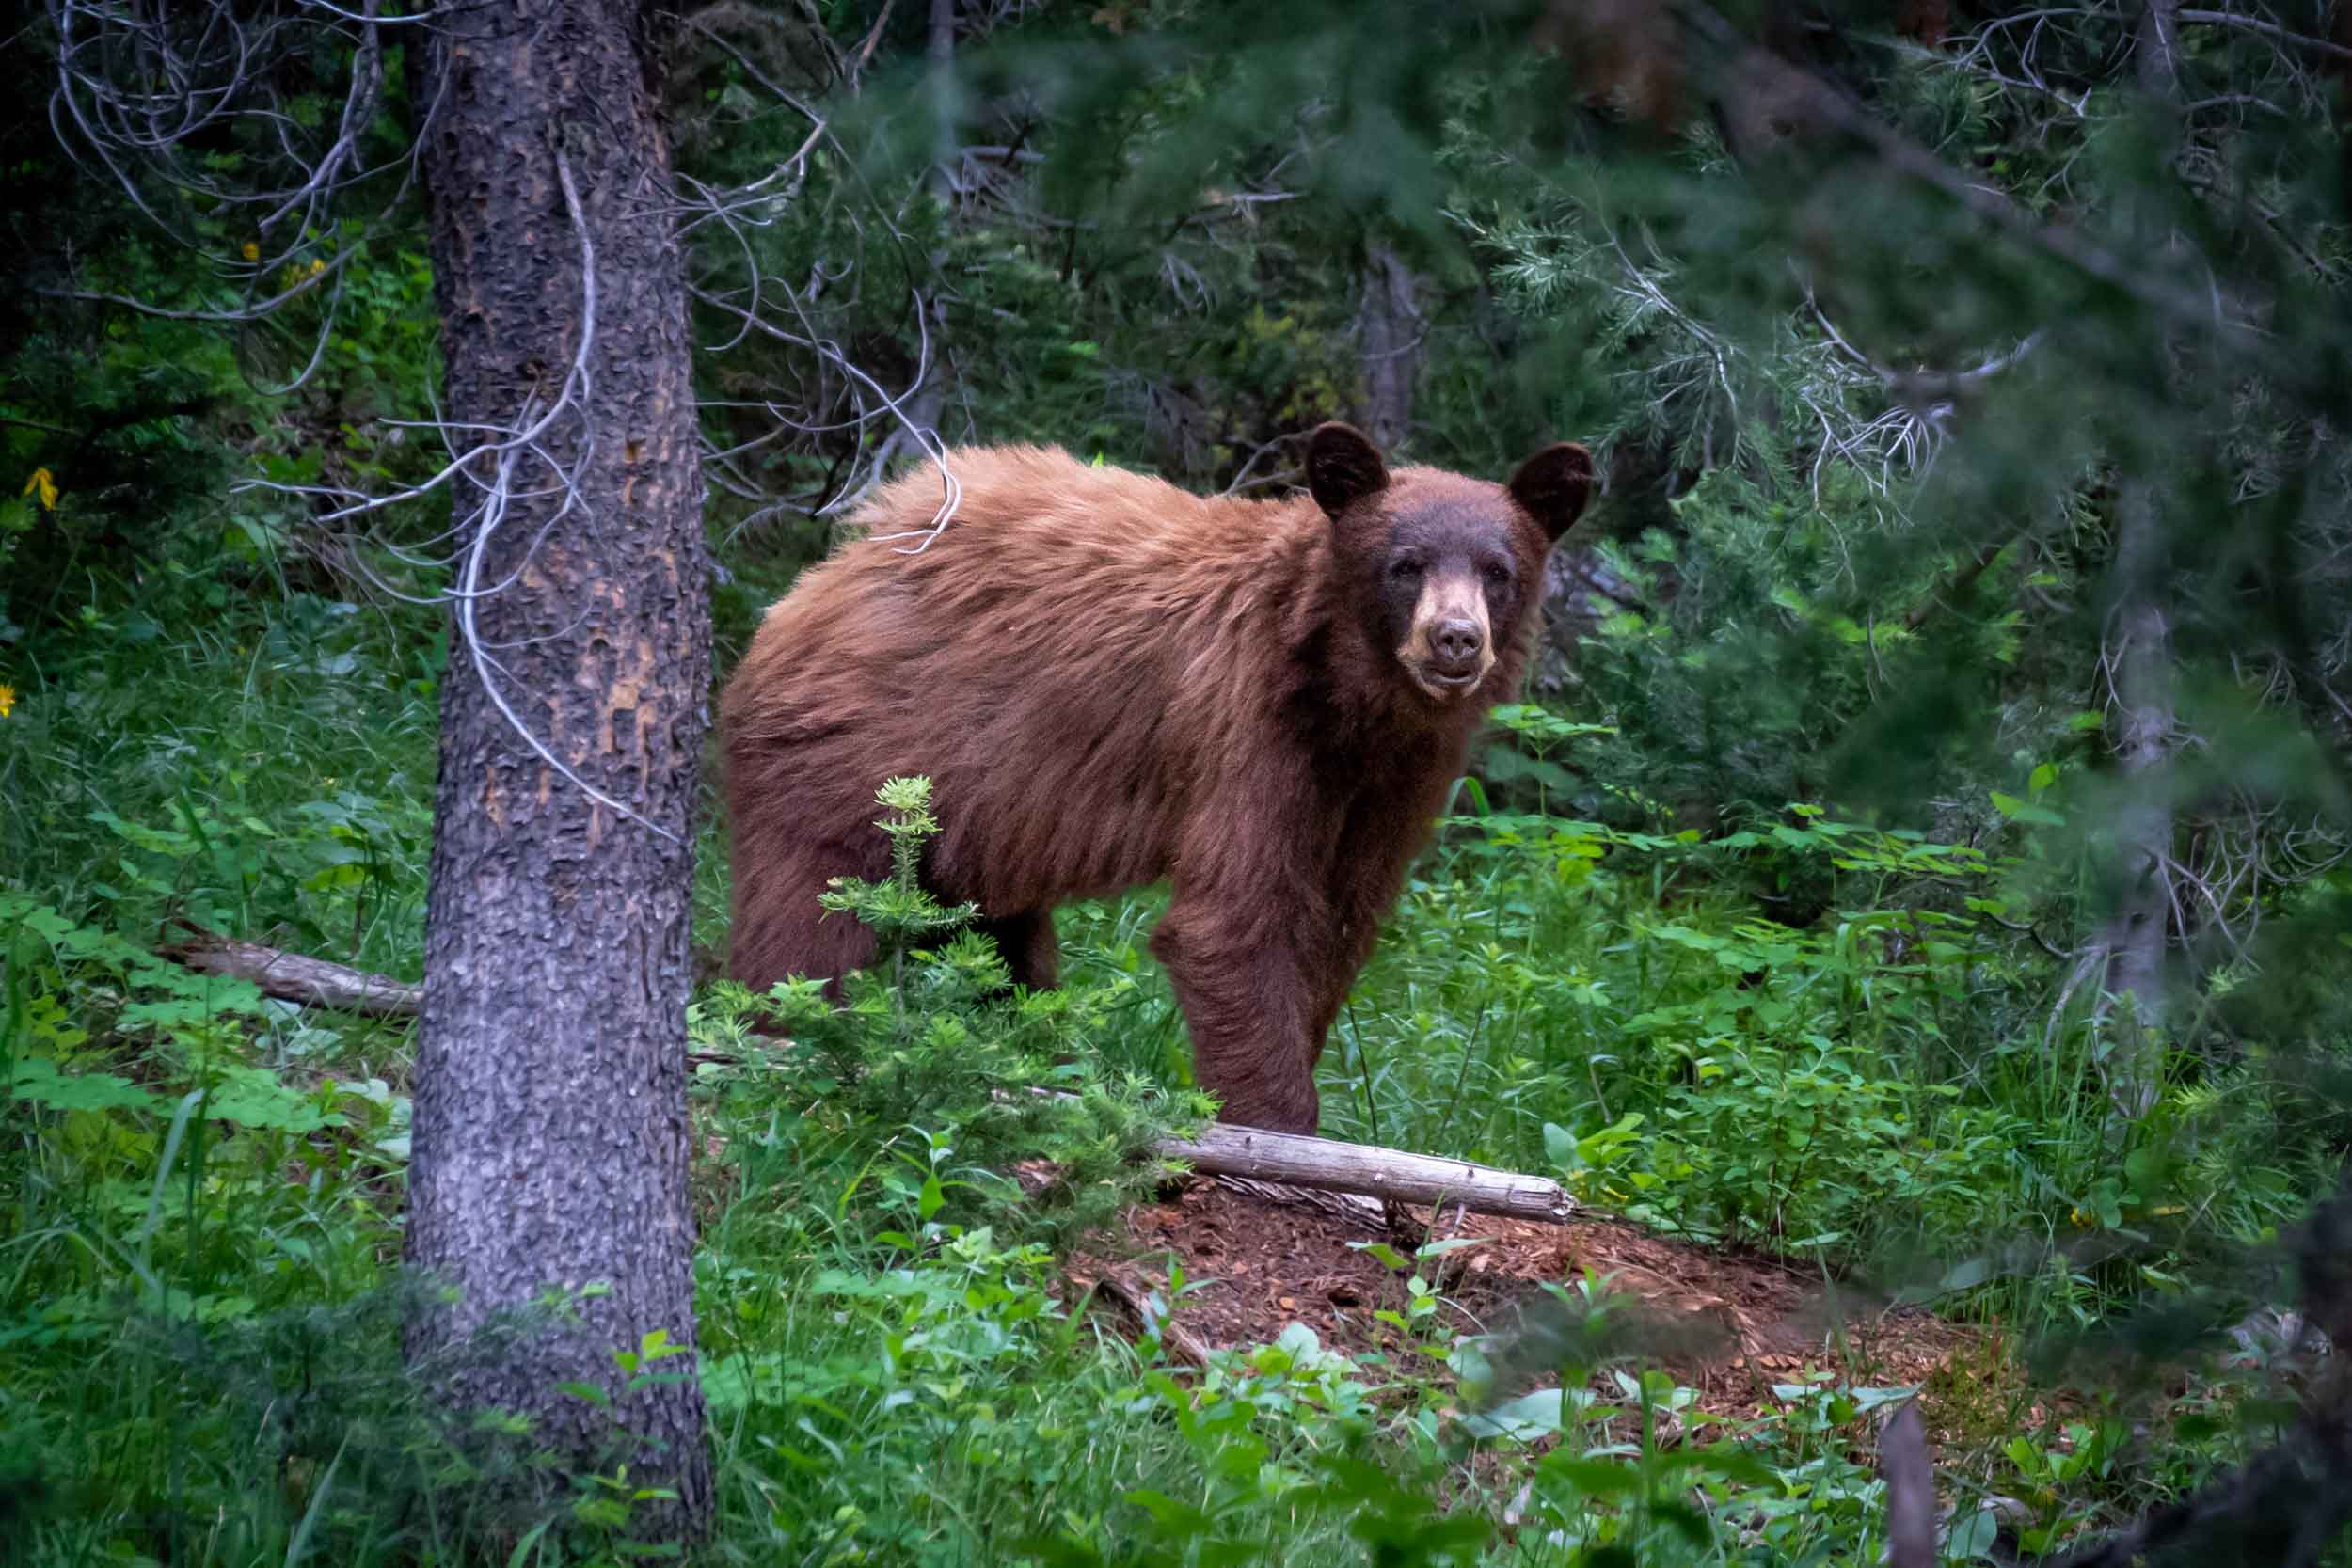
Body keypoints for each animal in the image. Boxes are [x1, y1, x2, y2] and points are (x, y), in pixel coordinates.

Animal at [722, 422, 1592, 1133]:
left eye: (1499, 570)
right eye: (1404, 565)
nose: (1456, 639)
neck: (1348, 699)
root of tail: (827, 572)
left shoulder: (1398, 783)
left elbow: (1341, 926)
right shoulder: (1249, 731)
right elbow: (1235, 919)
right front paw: (1277, 1128)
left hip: (972, 821)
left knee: (992, 947)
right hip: (850, 753)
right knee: (807, 918)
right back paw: (786, 1037)